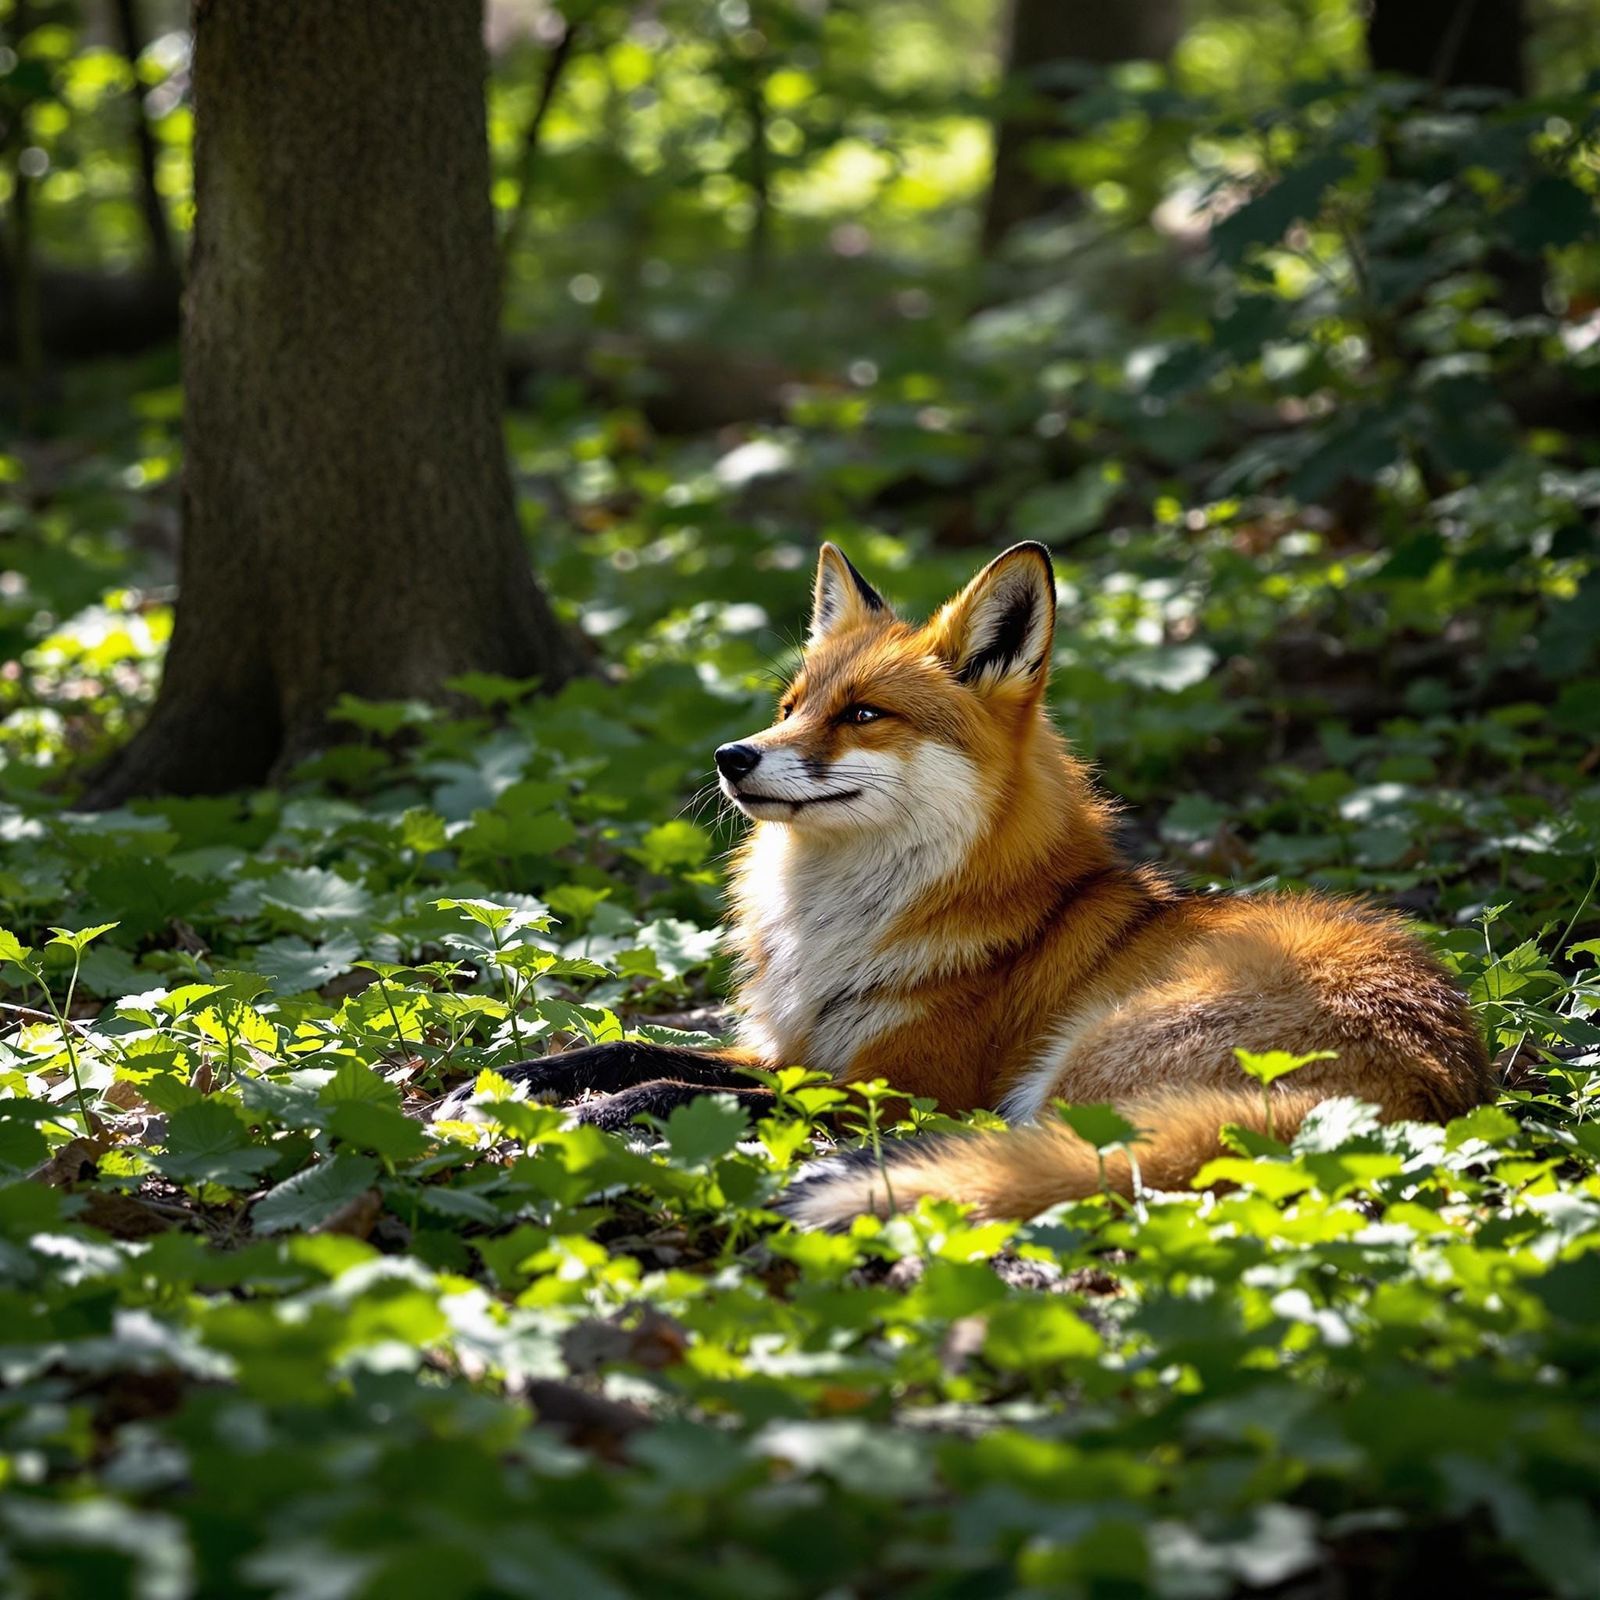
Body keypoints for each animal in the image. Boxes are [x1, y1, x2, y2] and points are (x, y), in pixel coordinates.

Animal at [440, 541, 1494, 1226]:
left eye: (864, 715)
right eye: (792, 707)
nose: (732, 756)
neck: (839, 926)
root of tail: (1432, 1091)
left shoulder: (897, 1082)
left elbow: (689, 1084)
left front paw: (608, 1115)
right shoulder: (800, 1047)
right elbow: (633, 1046)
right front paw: (515, 1079)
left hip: (1073, 1069)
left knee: (1047, 1155)